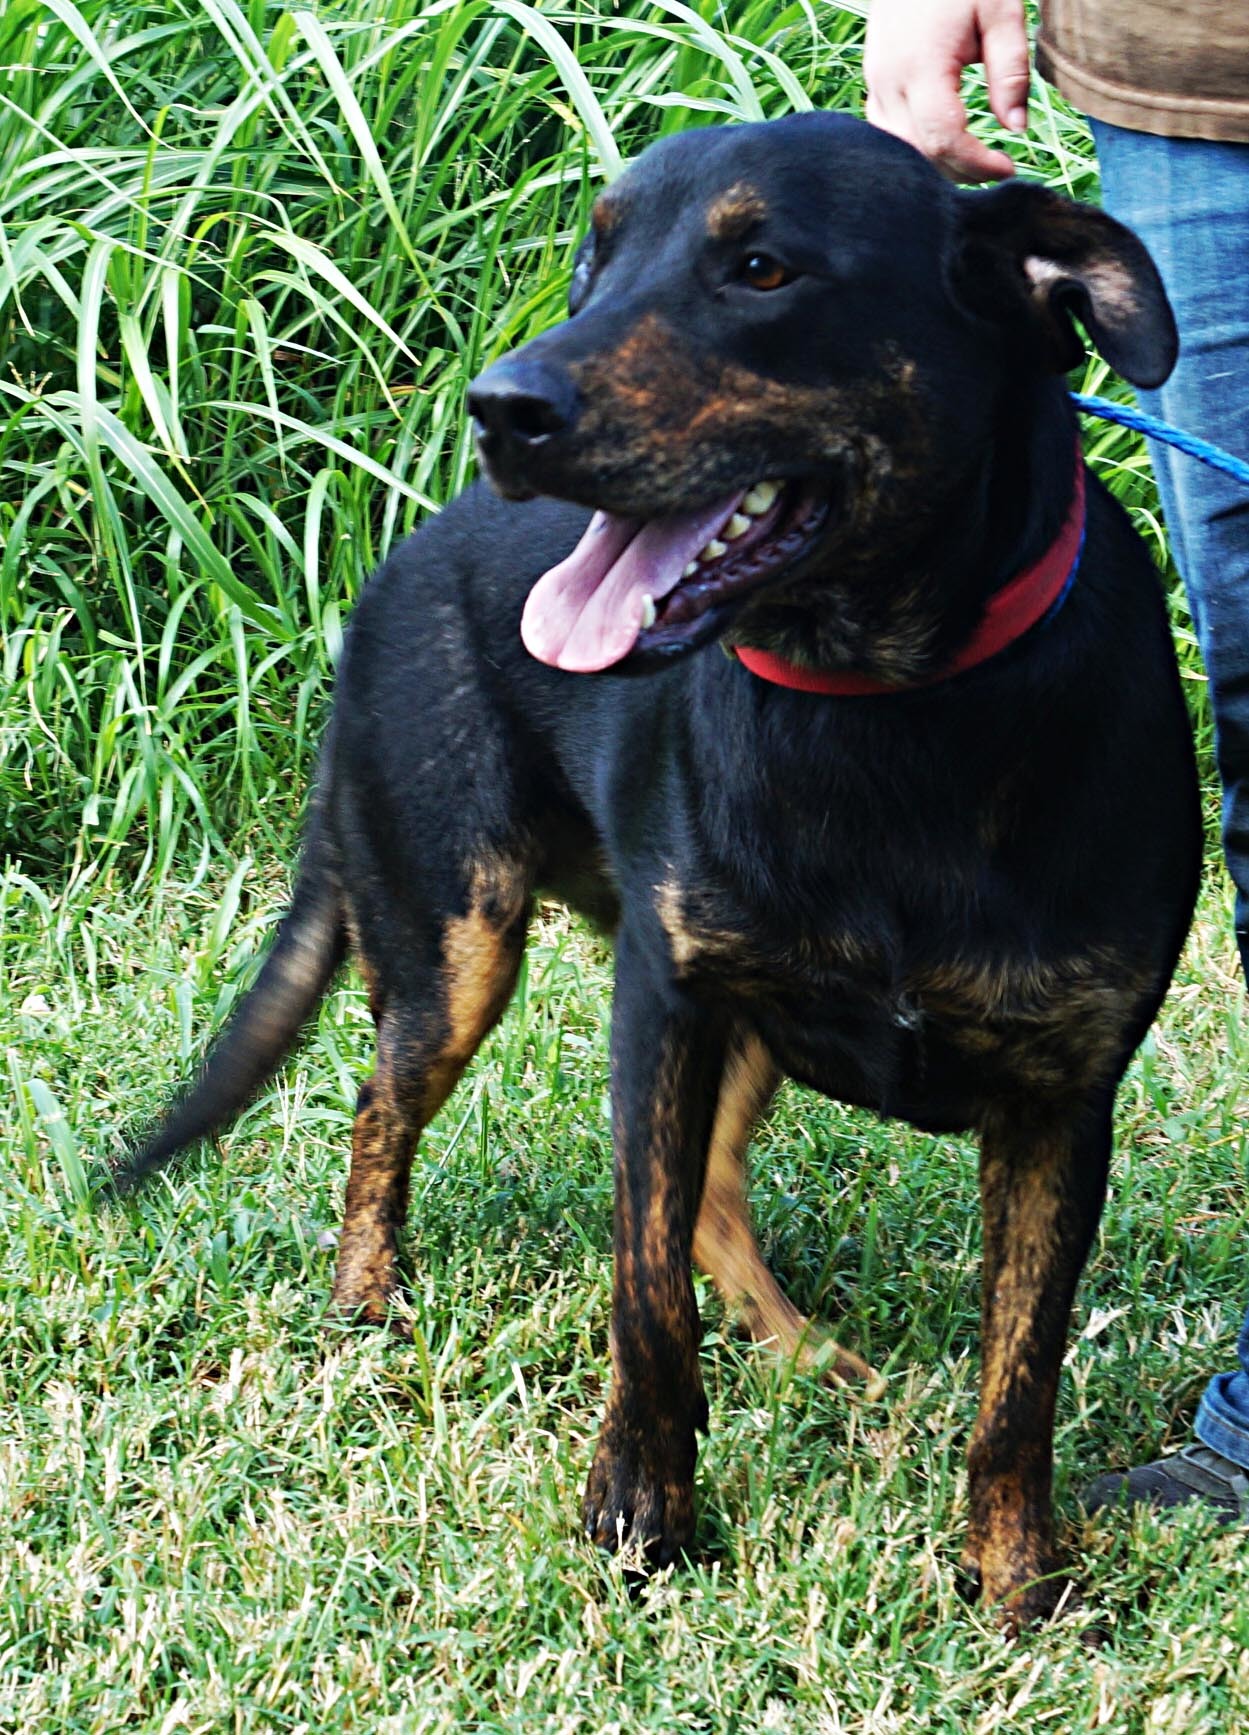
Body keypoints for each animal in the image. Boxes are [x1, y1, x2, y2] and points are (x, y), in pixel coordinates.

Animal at [122, 111, 1207, 1623]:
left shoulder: (1061, 1090)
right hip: (459, 942)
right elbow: (643, 1295)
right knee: (385, 1105)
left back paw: (802, 1351)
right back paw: (368, 1296)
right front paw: (639, 1517)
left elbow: (1019, 1373)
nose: (498, 407)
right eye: (595, 258)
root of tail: (412, 545)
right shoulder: (663, 1004)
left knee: (719, 1204)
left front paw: (1012, 1578)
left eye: (760, 268)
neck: (885, 704)